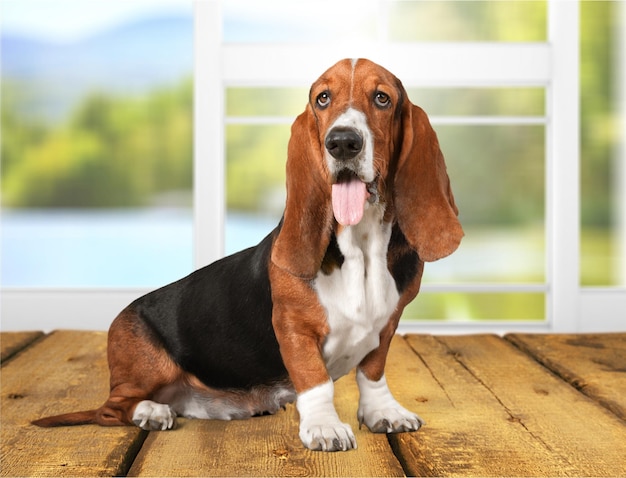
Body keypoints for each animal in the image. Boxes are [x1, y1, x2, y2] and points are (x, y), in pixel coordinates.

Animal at [35, 58, 464, 450]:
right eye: (322, 99)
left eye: (382, 98)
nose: (342, 141)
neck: (360, 246)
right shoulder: (294, 329)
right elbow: (316, 381)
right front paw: (324, 427)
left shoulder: (387, 324)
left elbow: (372, 373)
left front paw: (383, 413)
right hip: (146, 367)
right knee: (113, 408)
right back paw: (151, 412)